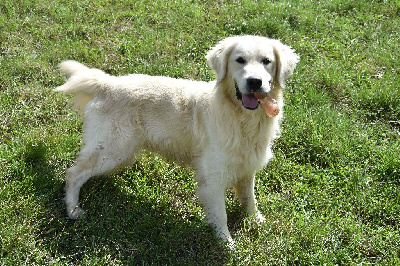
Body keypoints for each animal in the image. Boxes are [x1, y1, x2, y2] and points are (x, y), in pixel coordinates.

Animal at [57, 35, 298, 245]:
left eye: (266, 61)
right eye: (240, 60)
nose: (255, 82)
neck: (242, 118)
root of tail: (106, 83)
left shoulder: (247, 167)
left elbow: (250, 199)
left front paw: (256, 220)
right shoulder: (212, 178)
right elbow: (221, 215)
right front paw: (227, 244)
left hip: (119, 154)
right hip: (112, 150)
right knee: (73, 173)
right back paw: (73, 210)